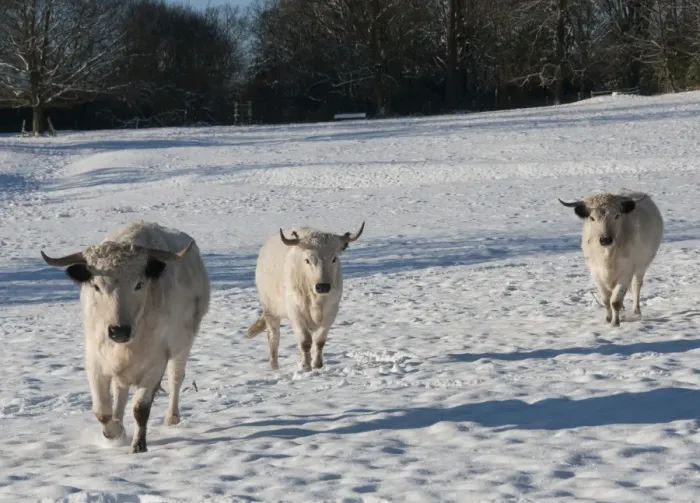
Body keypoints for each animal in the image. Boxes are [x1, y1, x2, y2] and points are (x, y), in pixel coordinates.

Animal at [40, 221, 211, 453]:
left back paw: (172, 418)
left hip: (182, 346)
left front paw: (138, 445)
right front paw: (115, 432)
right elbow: (102, 411)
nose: (119, 331)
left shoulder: (155, 363)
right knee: (120, 392)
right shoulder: (95, 362)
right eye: (96, 286)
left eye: (139, 284)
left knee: (176, 378)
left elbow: (140, 408)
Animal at [246, 222, 365, 371]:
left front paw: (317, 365)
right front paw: (306, 366)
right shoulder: (295, 312)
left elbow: (319, 340)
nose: (323, 286)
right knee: (274, 337)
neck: (316, 300)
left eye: (334, 258)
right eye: (307, 260)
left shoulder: (331, 311)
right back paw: (274, 366)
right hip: (270, 310)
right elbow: (305, 341)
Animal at [558, 190, 663, 326]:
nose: (605, 239)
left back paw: (636, 311)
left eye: (617, 216)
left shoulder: (626, 272)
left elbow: (615, 301)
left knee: (636, 286)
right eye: (592, 218)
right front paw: (608, 319)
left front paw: (615, 322)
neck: (607, 255)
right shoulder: (596, 273)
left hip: (641, 266)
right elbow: (606, 300)